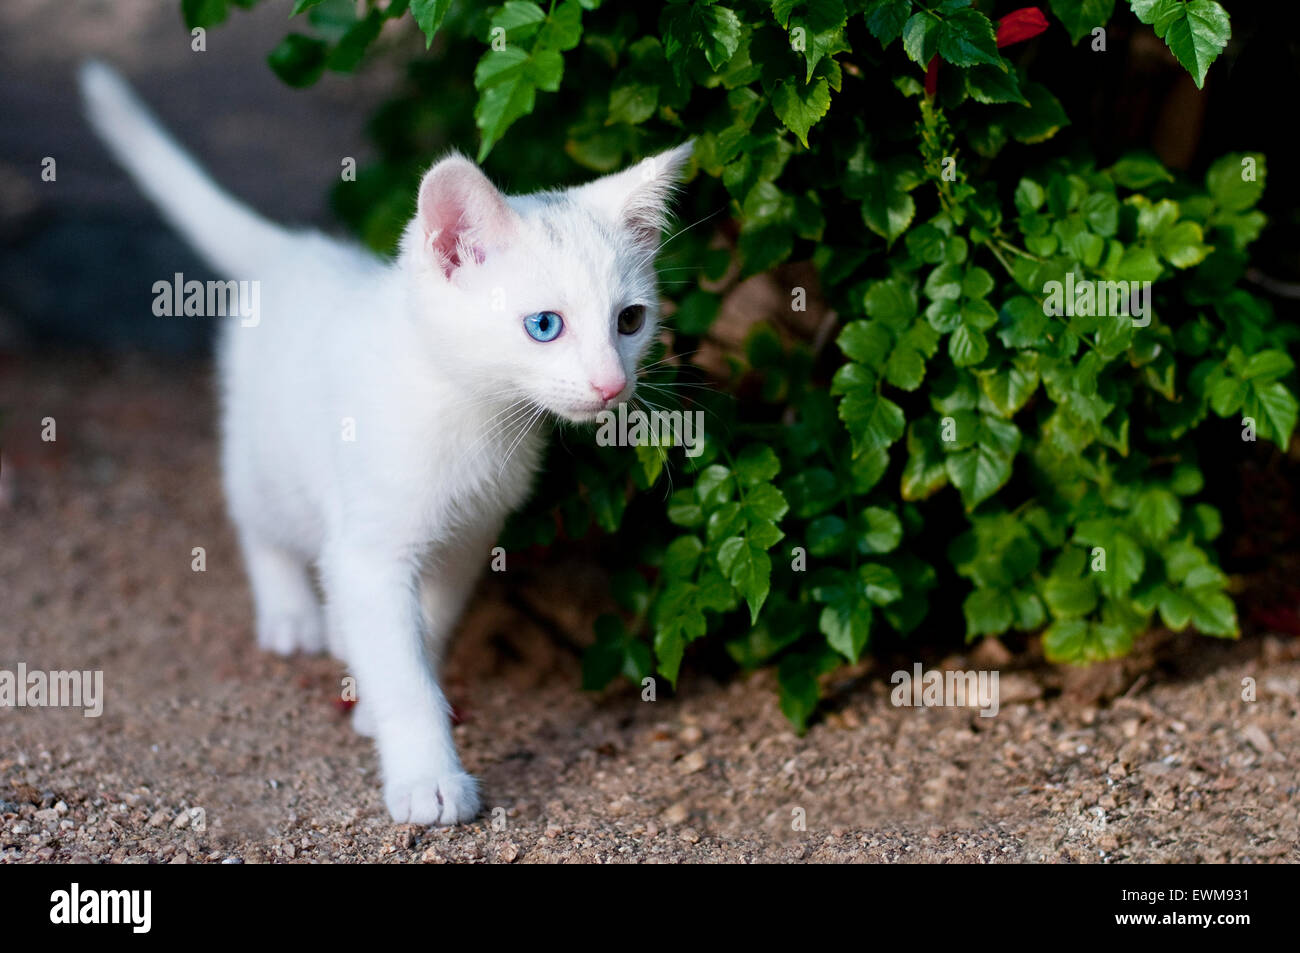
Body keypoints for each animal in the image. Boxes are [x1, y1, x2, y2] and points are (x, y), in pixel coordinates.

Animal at [79, 59, 691, 821]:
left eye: (631, 320)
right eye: (545, 326)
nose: (612, 384)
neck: (473, 412)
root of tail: (296, 251)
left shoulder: (467, 537)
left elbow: (423, 630)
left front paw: (379, 692)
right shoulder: (372, 548)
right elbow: (401, 668)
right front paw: (427, 777)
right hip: (267, 457)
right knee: (258, 521)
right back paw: (290, 612)